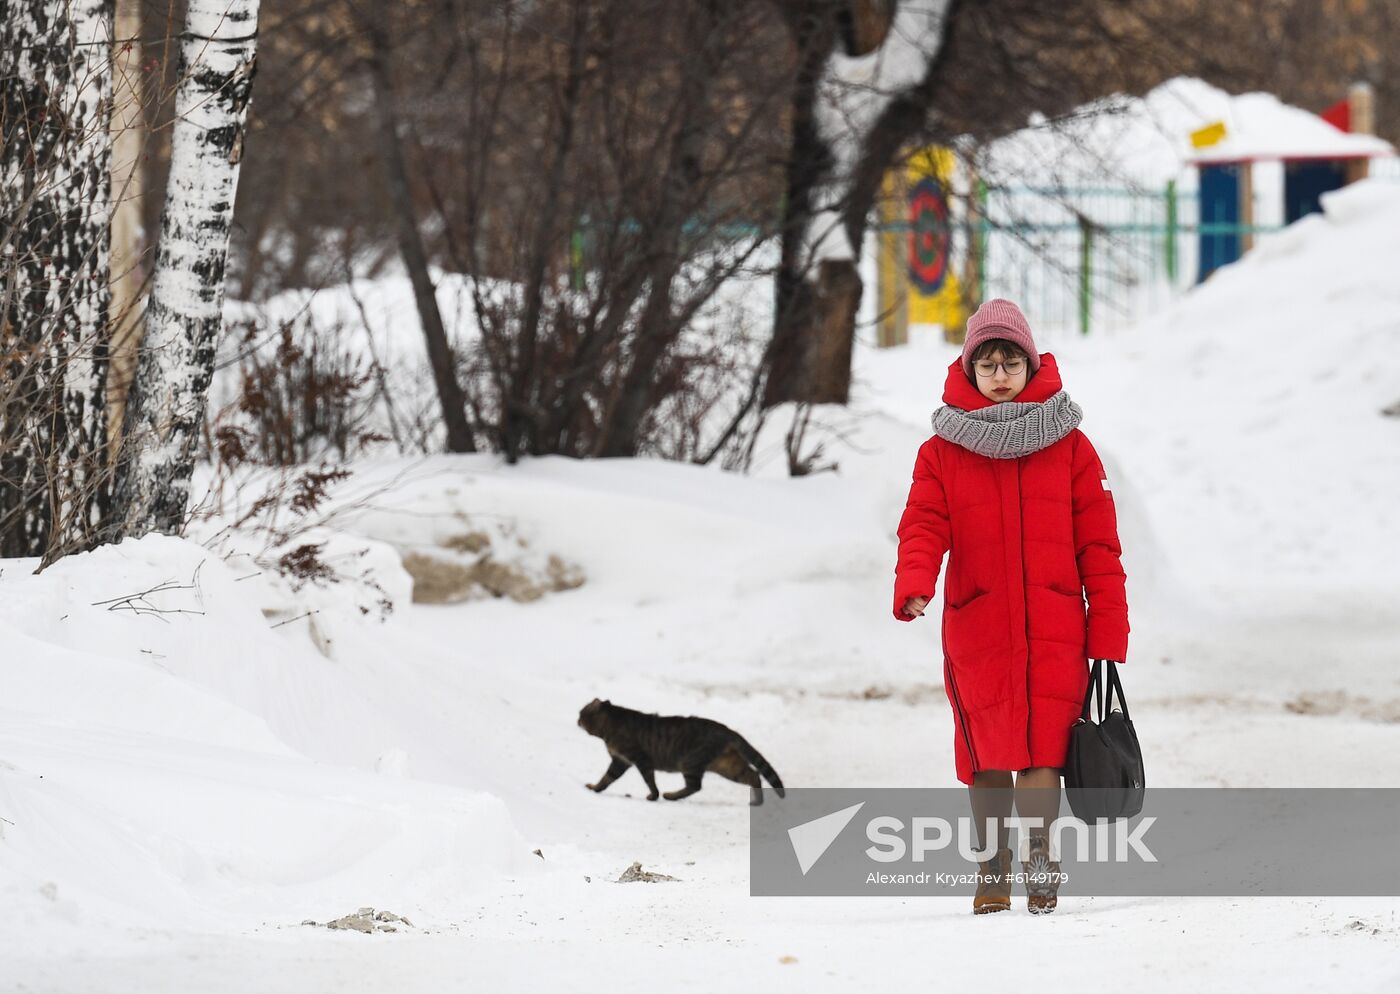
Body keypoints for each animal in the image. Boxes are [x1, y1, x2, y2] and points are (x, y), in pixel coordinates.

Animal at [574, 700, 784, 812]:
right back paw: (756, 801)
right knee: (753, 775)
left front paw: (654, 796)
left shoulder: (640, 759)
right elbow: (606, 779)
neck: (610, 727)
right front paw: (595, 788)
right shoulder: (620, 761)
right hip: (726, 765)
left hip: (691, 762)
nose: (576, 720)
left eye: (581, 712)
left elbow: (650, 781)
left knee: (695, 786)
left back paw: (670, 796)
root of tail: (726, 730)